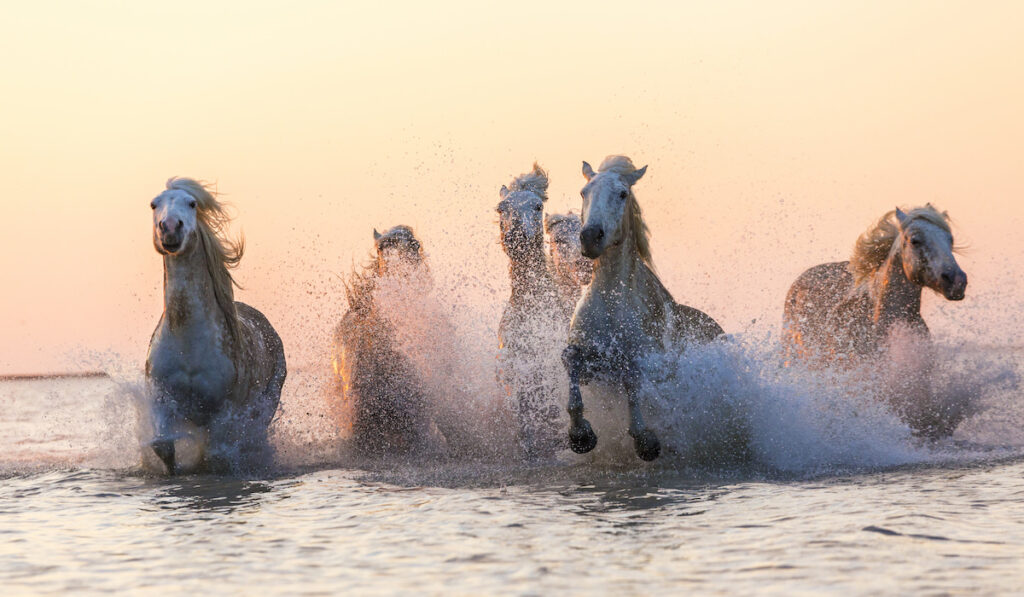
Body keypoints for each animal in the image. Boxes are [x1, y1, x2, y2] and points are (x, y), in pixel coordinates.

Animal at [146, 175, 286, 475]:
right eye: (154, 204)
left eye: (192, 203)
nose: (170, 228)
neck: (187, 339)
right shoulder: (161, 399)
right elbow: (162, 446)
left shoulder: (223, 411)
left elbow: (215, 456)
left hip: (266, 404)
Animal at [565, 155, 724, 462]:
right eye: (583, 192)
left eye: (622, 194)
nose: (590, 237)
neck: (612, 303)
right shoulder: (594, 363)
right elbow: (571, 362)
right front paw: (580, 435)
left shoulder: (647, 363)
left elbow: (633, 379)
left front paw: (645, 441)